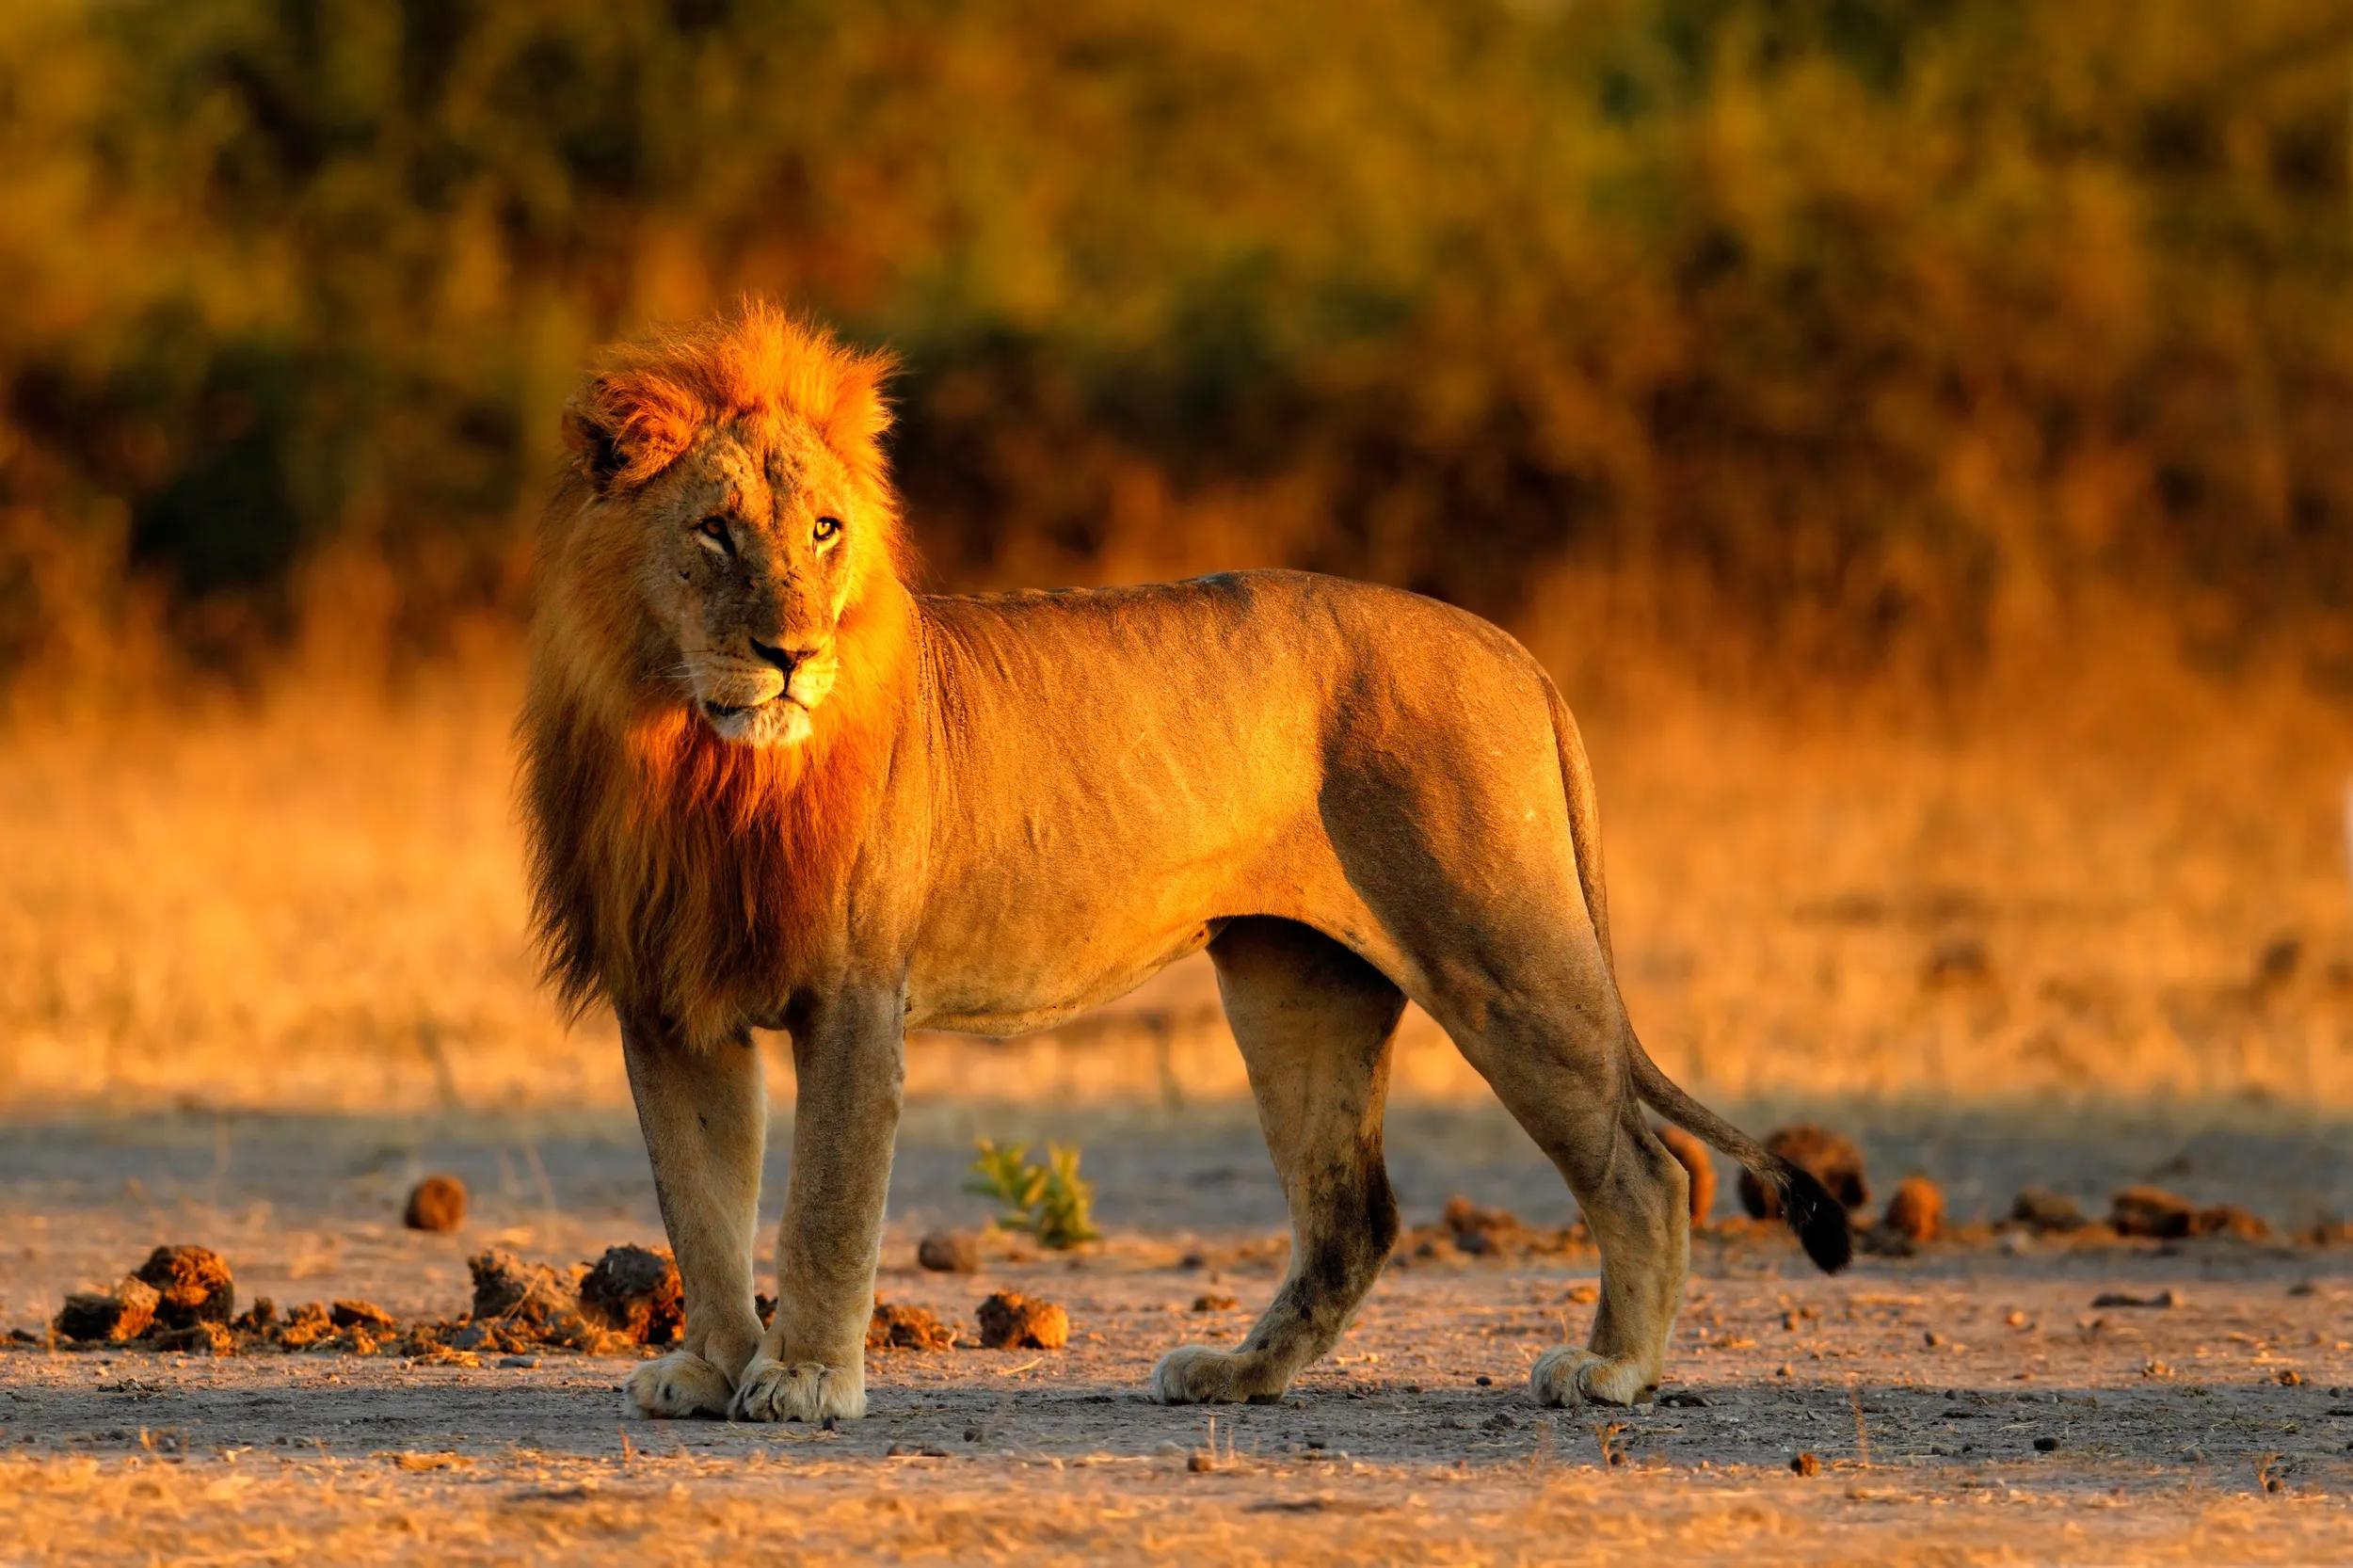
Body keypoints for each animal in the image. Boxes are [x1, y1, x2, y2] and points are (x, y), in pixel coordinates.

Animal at [520, 301, 1850, 1425]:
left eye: (824, 531)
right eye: (713, 531)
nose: (790, 653)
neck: (698, 760)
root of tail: (1511, 649)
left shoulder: (852, 993)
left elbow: (824, 1207)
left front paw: (800, 1379)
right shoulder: (669, 999)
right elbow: (700, 1201)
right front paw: (708, 1370)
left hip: (1502, 952)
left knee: (1646, 1166)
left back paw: (1611, 1367)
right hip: (1294, 988)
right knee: (1354, 1215)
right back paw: (1237, 1374)